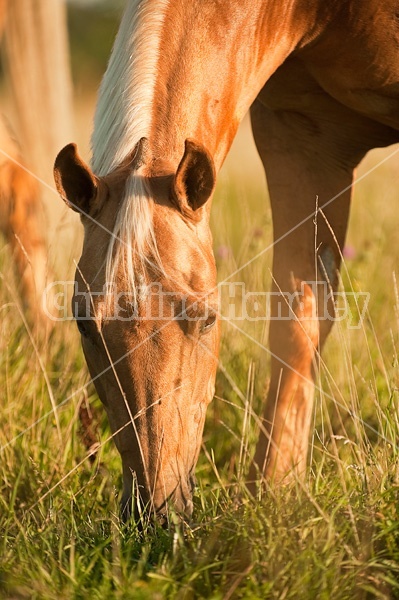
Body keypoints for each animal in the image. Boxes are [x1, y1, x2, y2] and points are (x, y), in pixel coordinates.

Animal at [54, 1, 399, 520]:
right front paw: (274, 491)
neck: (322, 15)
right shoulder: (304, 142)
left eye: (207, 318)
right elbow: (297, 323)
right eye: (84, 325)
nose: (157, 511)